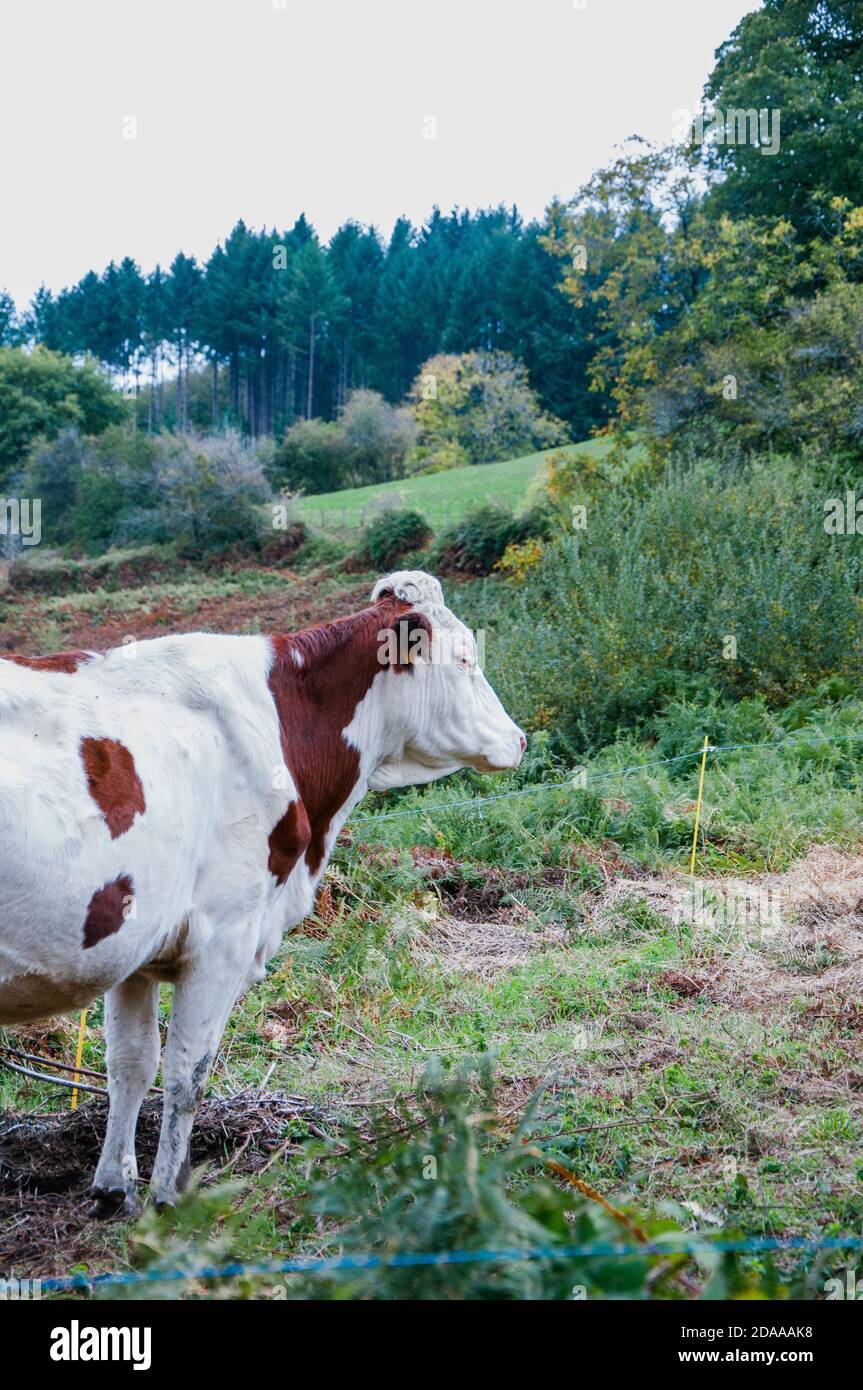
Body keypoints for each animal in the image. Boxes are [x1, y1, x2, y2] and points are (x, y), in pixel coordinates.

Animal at [0, 571, 525, 1217]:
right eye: (466, 658)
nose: (520, 739)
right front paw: (168, 1198)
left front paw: (113, 1188)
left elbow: (131, 1065)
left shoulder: (135, 945)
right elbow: (187, 1073)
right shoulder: (223, 935)